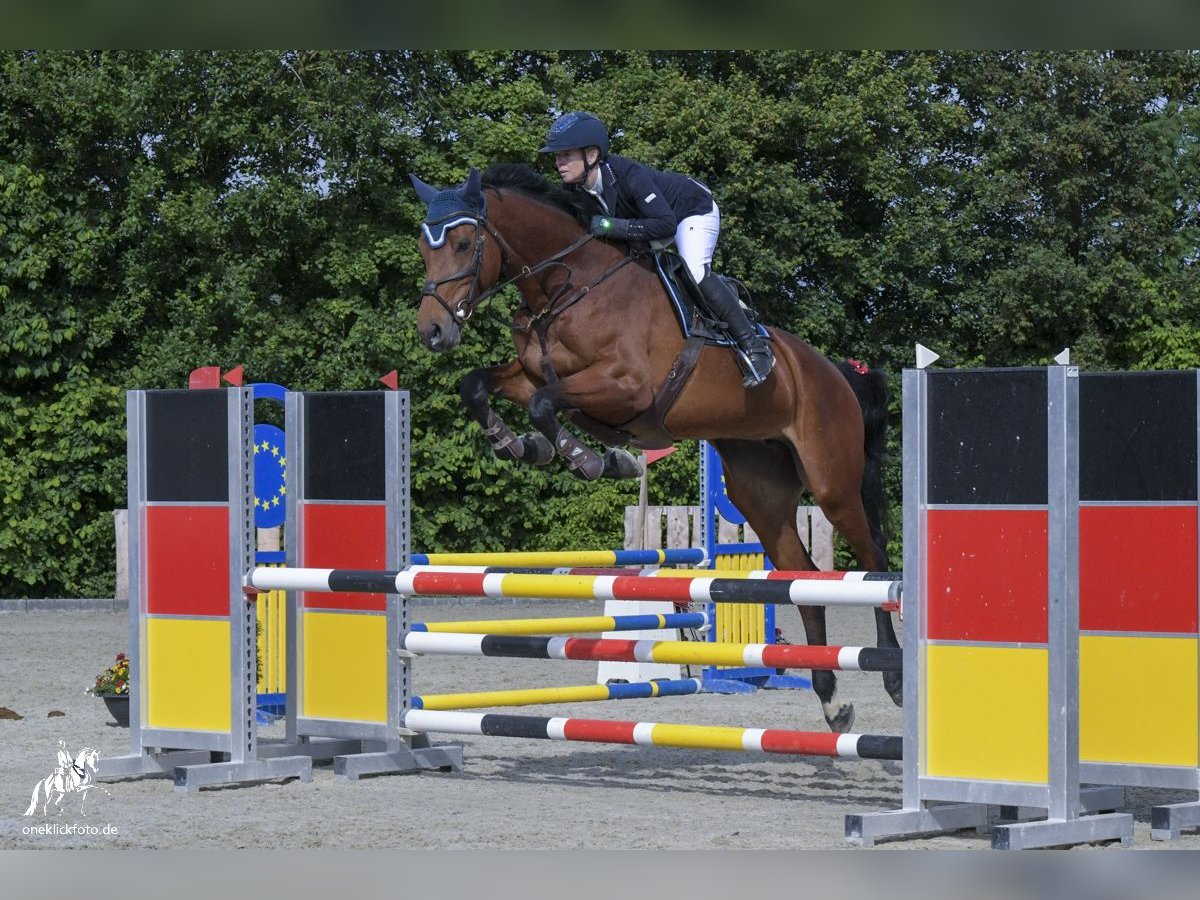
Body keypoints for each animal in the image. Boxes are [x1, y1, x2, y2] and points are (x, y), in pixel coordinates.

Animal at [408, 164, 897, 734]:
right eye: (423, 247)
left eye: (464, 243)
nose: (432, 331)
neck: (568, 285)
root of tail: (836, 372)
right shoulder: (533, 377)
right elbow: (480, 386)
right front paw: (520, 446)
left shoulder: (625, 387)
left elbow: (547, 406)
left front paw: (593, 459)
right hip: (761, 493)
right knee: (806, 583)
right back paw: (831, 701)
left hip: (832, 482)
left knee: (873, 560)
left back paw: (893, 675)